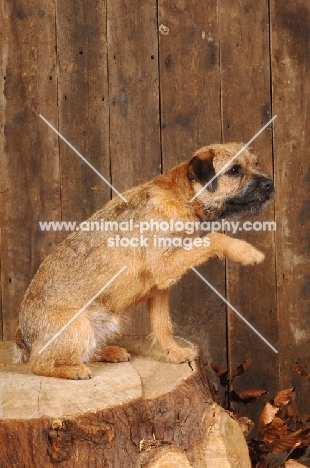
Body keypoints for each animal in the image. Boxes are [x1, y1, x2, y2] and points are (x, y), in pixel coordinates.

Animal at [13, 144, 274, 380]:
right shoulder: (165, 265)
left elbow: (163, 325)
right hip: (79, 327)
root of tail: (23, 337)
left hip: (111, 321)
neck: (181, 197)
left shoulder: (160, 289)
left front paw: (174, 352)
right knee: (39, 363)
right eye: (234, 170)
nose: (270, 183)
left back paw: (108, 352)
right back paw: (73, 369)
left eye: (256, 163)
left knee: (84, 352)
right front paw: (246, 251)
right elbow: (215, 238)